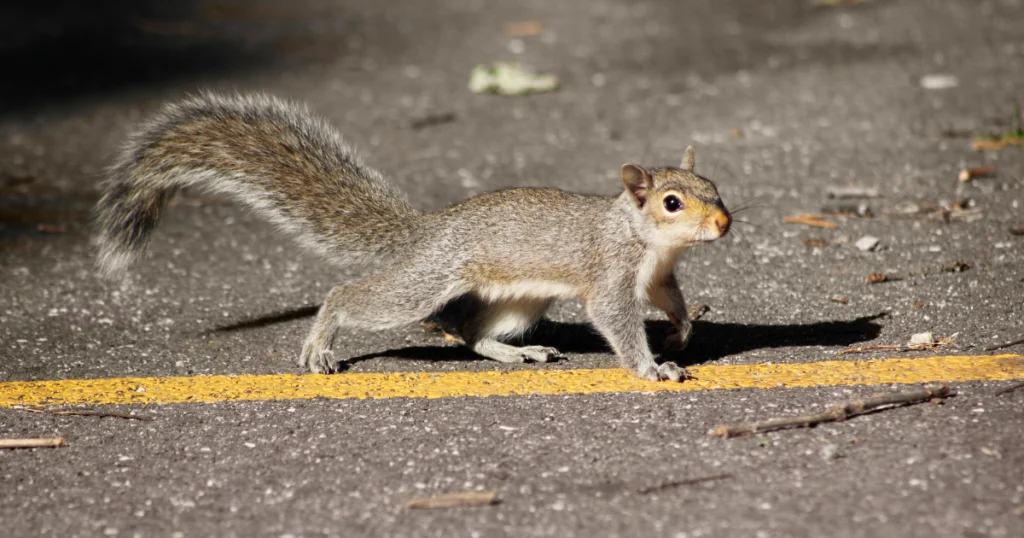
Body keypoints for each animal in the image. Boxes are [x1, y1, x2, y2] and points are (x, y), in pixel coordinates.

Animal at [94, 90, 729, 379]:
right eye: (672, 203)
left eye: (715, 186)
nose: (724, 223)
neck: (643, 236)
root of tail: (429, 229)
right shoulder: (610, 276)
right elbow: (616, 321)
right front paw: (653, 368)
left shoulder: (659, 275)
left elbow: (670, 302)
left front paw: (681, 331)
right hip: (424, 284)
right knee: (350, 296)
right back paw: (321, 343)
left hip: (519, 302)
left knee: (471, 332)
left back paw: (515, 351)